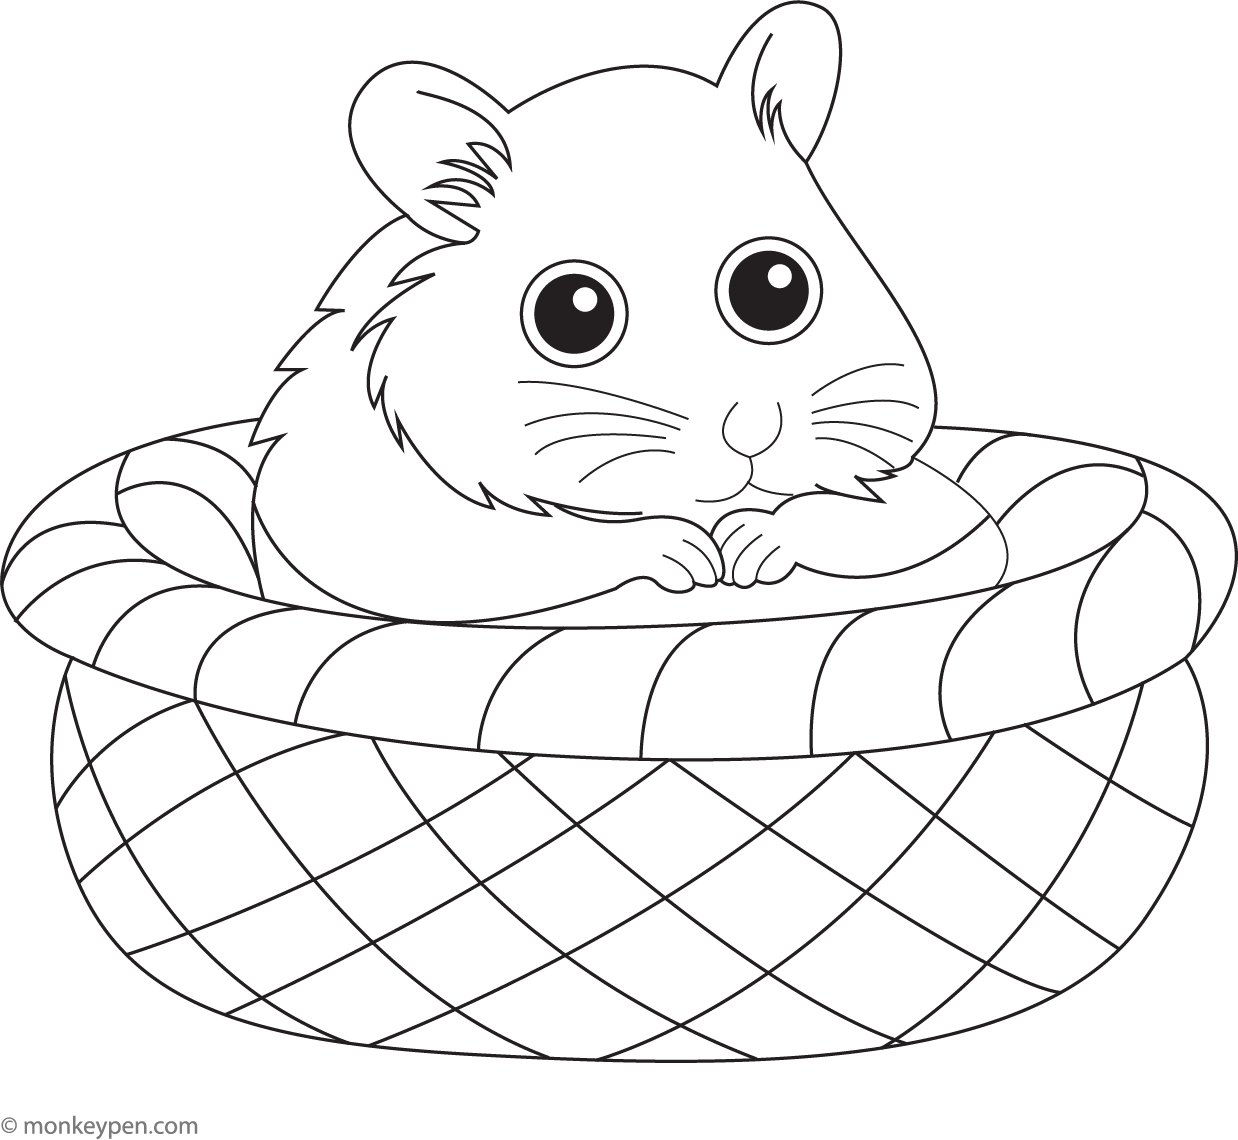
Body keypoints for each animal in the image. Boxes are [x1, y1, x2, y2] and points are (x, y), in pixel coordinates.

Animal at [253, 2, 1005, 622]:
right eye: (573, 312)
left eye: (775, 285)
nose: (752, 430)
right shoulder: (371, 529)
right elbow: (506, 549)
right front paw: (685, 554)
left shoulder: (938, 507)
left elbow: (939, 522)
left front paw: (754, 543)